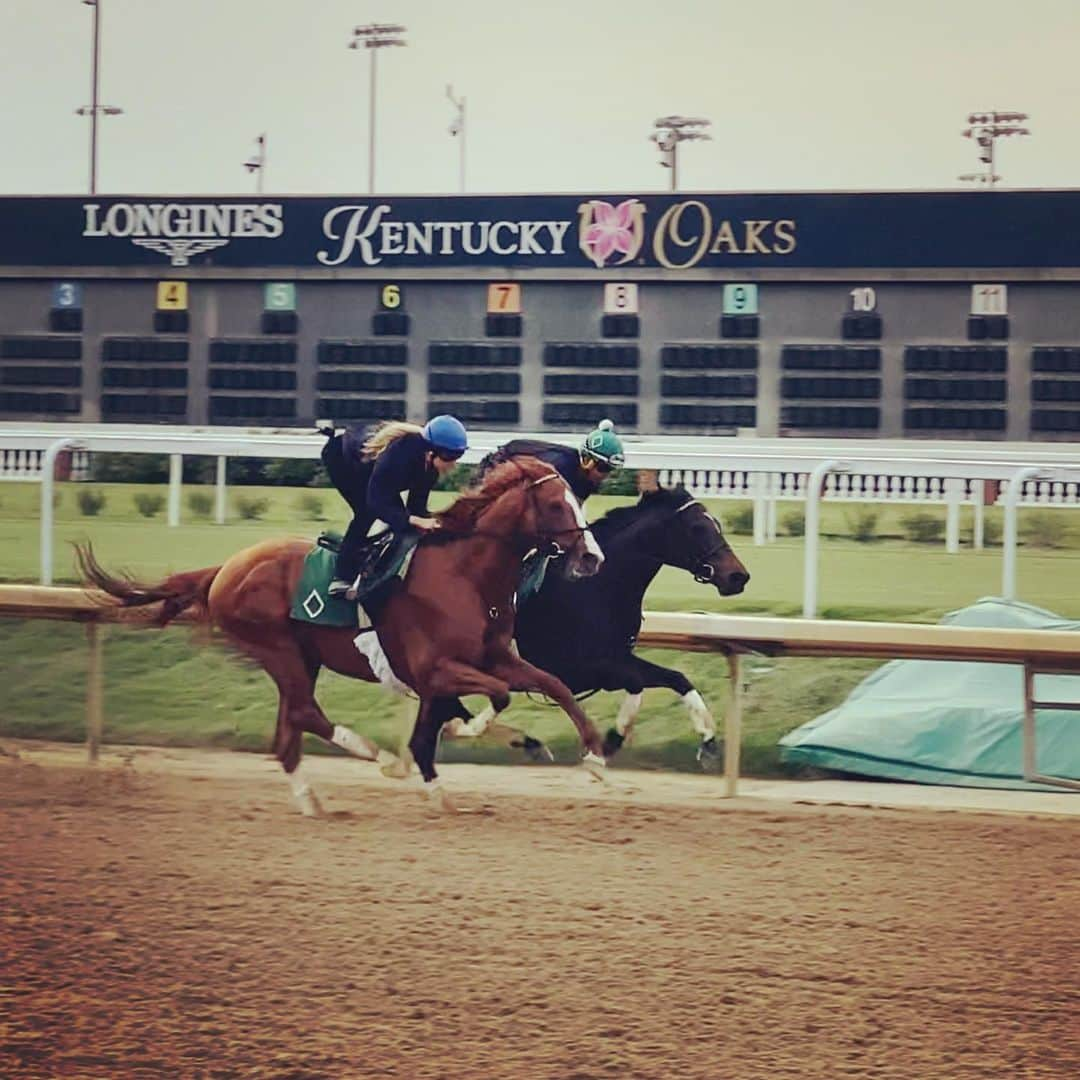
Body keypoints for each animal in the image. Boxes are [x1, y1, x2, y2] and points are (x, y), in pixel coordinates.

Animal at [77, 457, 609, 816]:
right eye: (556, 504)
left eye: (576, 500)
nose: (592, 558)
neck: (465, 573)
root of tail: (224, 569)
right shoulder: (434, 669)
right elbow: (493, 698)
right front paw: (472, 732)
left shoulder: (493, 656)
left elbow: (554, 685)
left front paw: (595, 755)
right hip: (278, 648)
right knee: (303, 713)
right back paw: (372, 753)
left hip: (300, 656)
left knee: (287, 731)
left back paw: (312, 799)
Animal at [442, 486, 747, 764]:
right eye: (697, 528)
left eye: (717, 524)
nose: (738, 576)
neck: (598, 588)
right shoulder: (575, 669)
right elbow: (635, 682)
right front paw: (607, 742)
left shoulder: (616, 658)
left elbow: (676, 678)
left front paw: (708, 740)